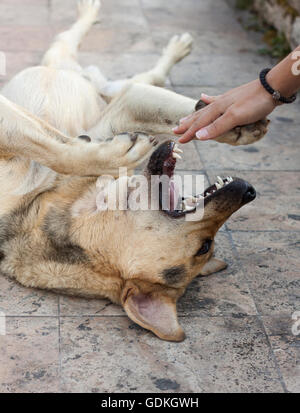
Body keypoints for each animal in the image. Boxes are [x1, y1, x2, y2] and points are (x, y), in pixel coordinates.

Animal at [0, 0, 268, 342]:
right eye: (204, 247)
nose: (249, 191)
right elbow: (57, 149)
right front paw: (233, 122)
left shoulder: (122, 109)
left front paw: (231, 119)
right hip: (80, 74)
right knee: (89, 55)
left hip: (87, 75)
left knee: (121, 67)